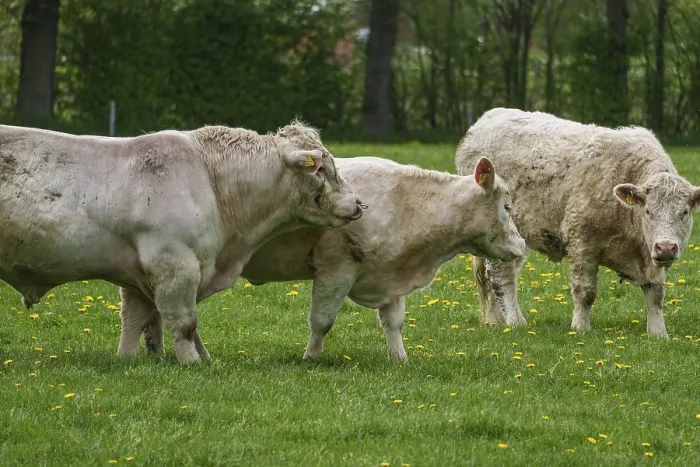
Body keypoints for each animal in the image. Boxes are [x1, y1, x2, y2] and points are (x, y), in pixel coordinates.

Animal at [0, 120, 364, 364]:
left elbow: (136, 319)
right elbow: (184, 323)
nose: (358, 203)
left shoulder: (138, 273)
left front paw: (128, 359)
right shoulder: (175, 262)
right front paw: (190, 362)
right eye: (320, 170)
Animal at [129, 156, 526, 363]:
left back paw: (156, 350)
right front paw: (311, 358)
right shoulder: (336, 267)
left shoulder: (388, 272)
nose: (521, 247)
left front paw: (399, 359)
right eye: (507, 207)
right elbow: (321, 320)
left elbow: (394, 323)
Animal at [456, 108, 700, 337]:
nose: (666, 247)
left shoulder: (650, 255)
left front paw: (658, 333)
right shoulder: (582, 242)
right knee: (502, 277)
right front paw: (580, 327)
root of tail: (485, 121)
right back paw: (515, 320)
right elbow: (585, 292)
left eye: (685, 212)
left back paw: (495, 319)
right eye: (648, 211)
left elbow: (655, 295)